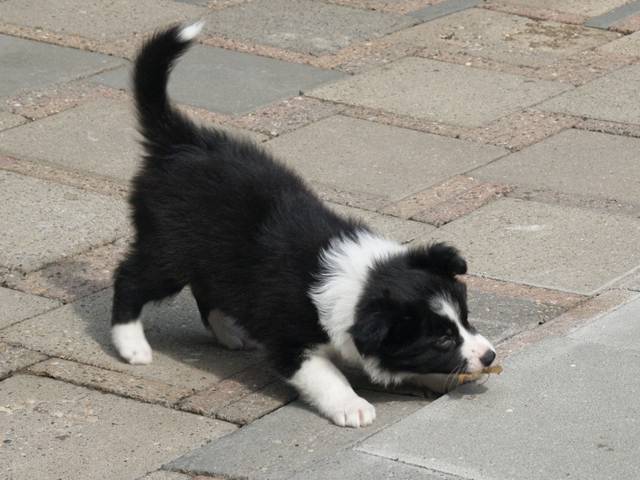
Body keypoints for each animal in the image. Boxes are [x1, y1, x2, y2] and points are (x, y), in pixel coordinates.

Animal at [111, 22, 496, 428]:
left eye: (465, 319)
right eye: (442, 340)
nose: (489, 356)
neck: (358, 281)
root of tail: (178, 141)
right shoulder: (291, 340)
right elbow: (325, 375)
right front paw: (353, 406)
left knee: (208, 289)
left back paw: (229, 331)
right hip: (169, 250)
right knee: (130, 279)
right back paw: (132, 345)